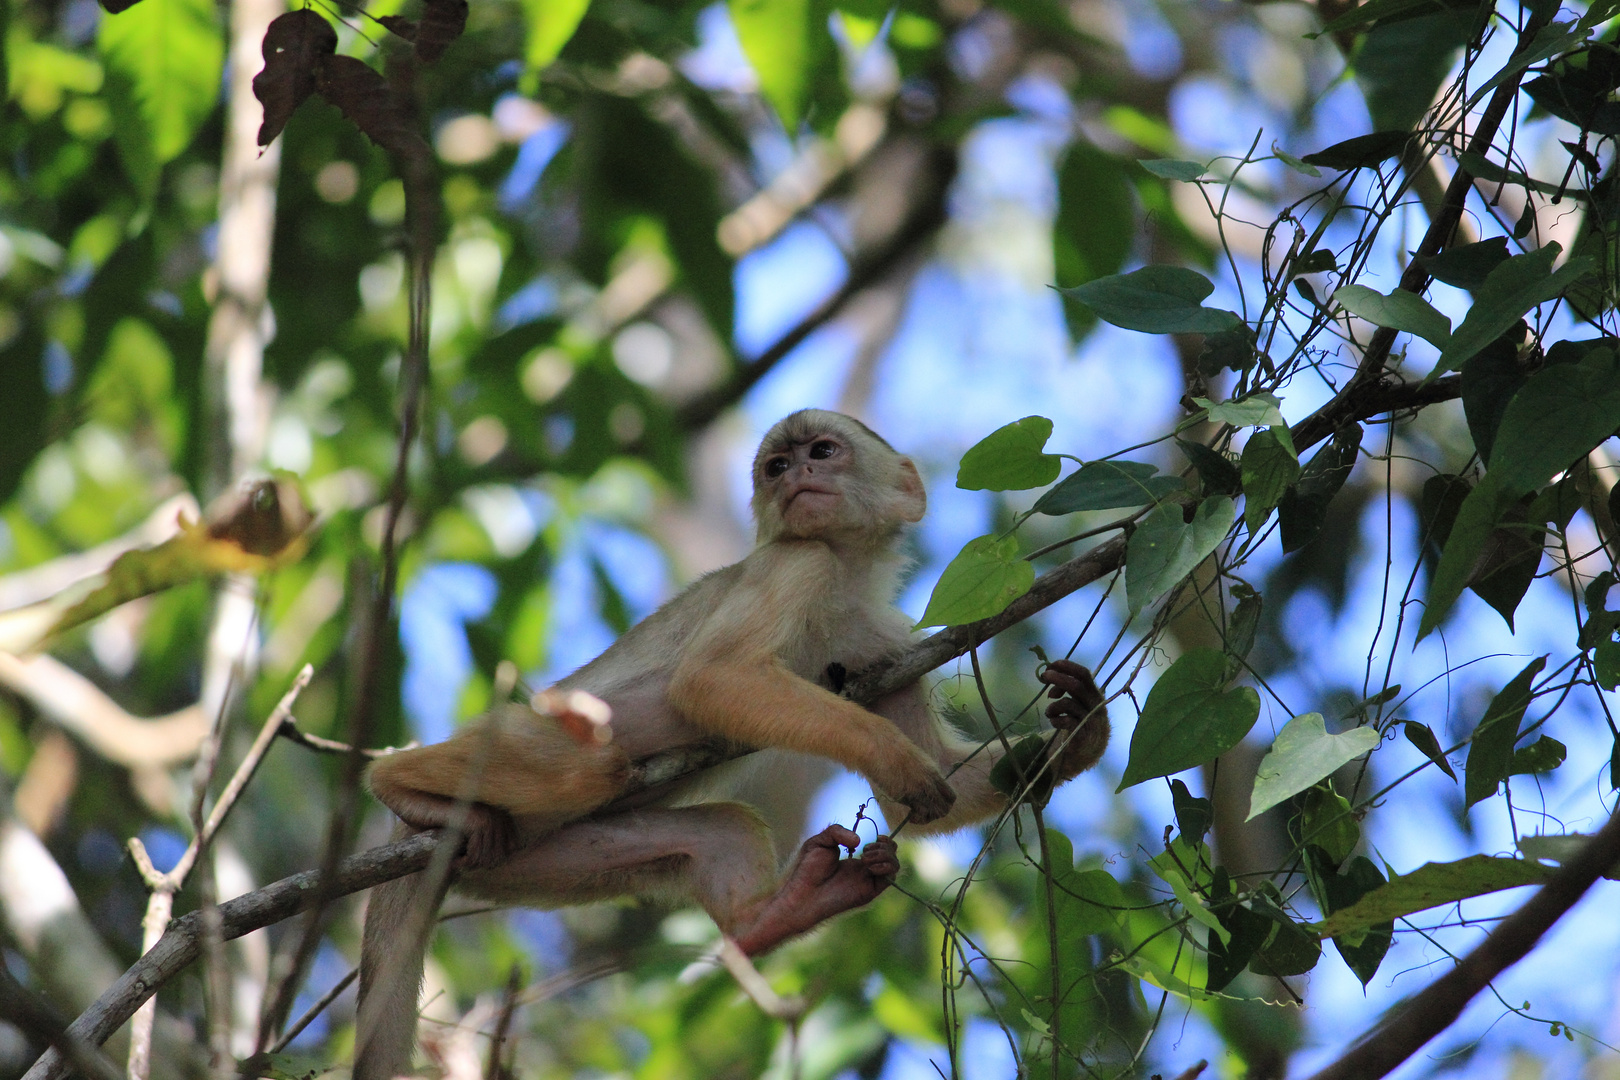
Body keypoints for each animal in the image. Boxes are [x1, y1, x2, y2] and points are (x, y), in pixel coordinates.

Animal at [351, 409, 1114, 1075]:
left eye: (822, 452)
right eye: (776, 466)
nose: (796, 475)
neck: (845, 576)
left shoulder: (889, 641)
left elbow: (938, 795)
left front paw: (1075, 734)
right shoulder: (795, 564)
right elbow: (711, 680)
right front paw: (888, 752)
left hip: (513, 865)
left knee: (718, 832)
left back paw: (777, 913)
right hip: (507, 748)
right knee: (589, 769)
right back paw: (399, 787)